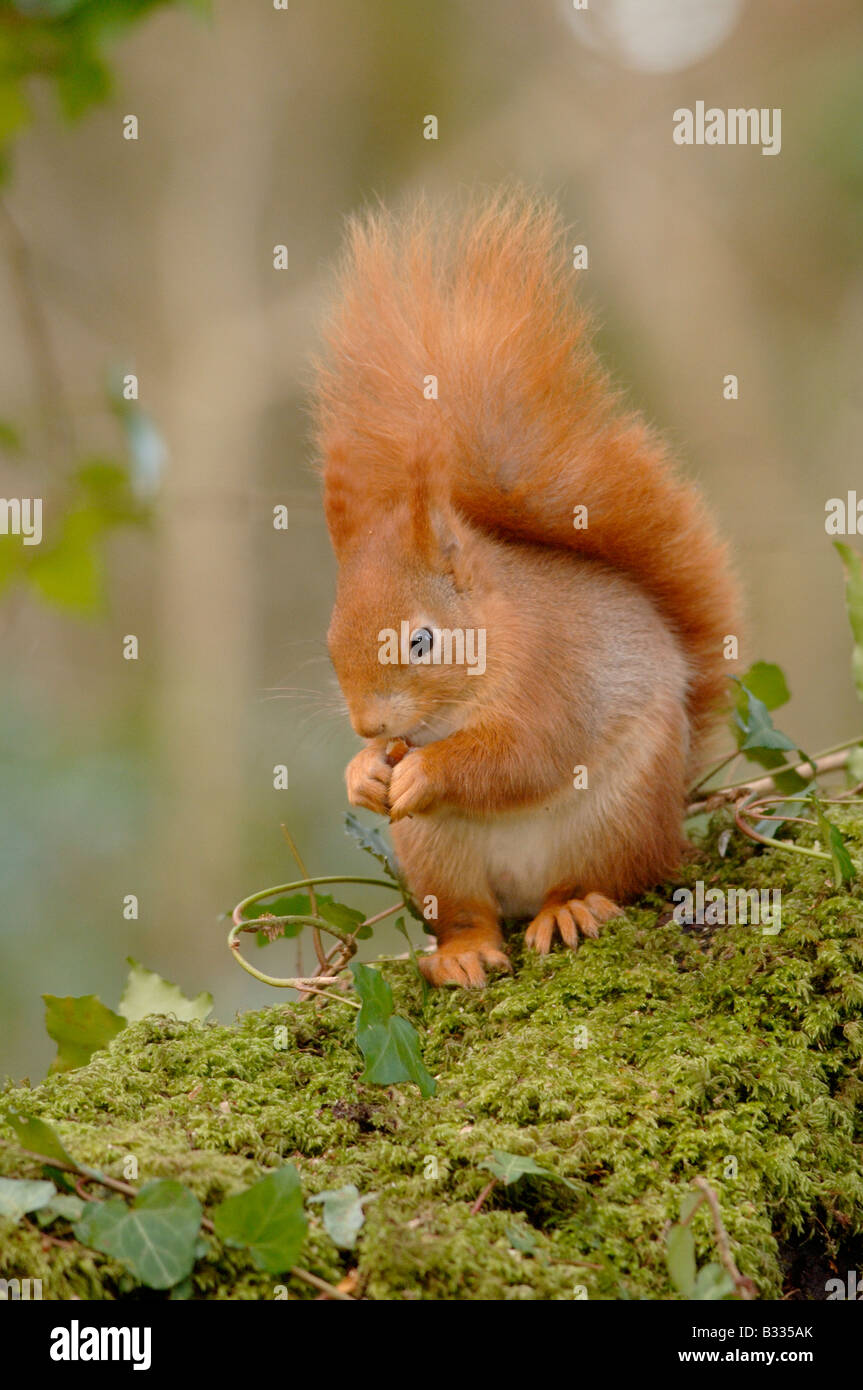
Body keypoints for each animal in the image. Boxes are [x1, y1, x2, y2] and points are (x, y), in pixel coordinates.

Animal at [312, 190, 739, 984]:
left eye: (423, 640)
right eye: (328, 646)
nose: (370, 727)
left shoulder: (554, 678)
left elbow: (523, 756)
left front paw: (425, 772)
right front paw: (362, 775)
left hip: (615, 818)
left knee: (601, 881)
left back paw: (569, 910)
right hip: (435, 855)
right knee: (468, 916)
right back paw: (462, 956)